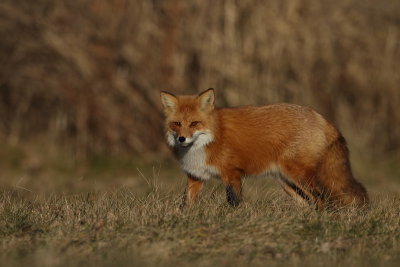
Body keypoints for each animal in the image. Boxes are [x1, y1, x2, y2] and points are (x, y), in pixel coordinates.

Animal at [159, 88, 368, 209]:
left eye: (194, 123)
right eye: (177, 124)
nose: (182, 139)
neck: (213, 136)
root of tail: (319, 116)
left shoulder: (232, 173)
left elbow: (234, 202)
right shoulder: (196, 177)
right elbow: (186, 203)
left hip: (298, 176)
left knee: (321, 198)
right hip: (287, 182)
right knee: (308, 202)